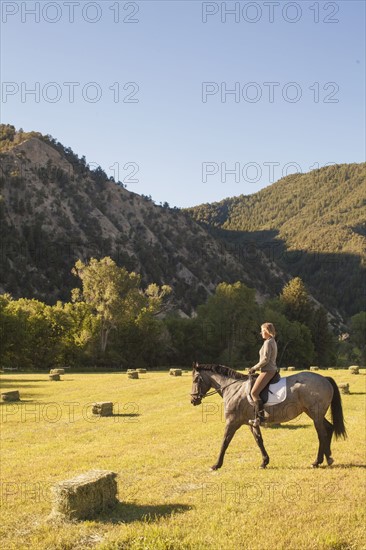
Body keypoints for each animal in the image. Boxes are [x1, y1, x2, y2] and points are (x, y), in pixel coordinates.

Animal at [190, 366, 348, 470]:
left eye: (196, 380)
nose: (193, 400)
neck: (233, 389)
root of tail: (324, 379)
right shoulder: (251, 423)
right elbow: (259, 441)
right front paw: (264, 462)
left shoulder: (232, 422)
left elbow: (225, 442)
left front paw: (216, 465)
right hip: (315, 414)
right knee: (328, 428)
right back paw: (325, 459)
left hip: (315, 414)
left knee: (321, 434)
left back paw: (319, 461)